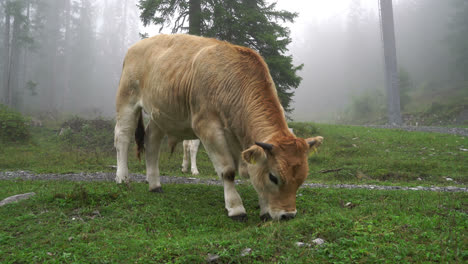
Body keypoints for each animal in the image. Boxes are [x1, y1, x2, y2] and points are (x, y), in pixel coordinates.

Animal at [115, 34, 324, 221]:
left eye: (302, 179)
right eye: (274, 177)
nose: (287, 215)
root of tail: (136, 46)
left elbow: (252, 173)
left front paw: (264, 210)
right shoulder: (207, 126)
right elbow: (228, 171)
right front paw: (236, 208)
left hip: (161, 114)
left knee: (152, 140)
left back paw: (155, 184)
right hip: (127, 99)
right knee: (122, 138)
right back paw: (122, 178)